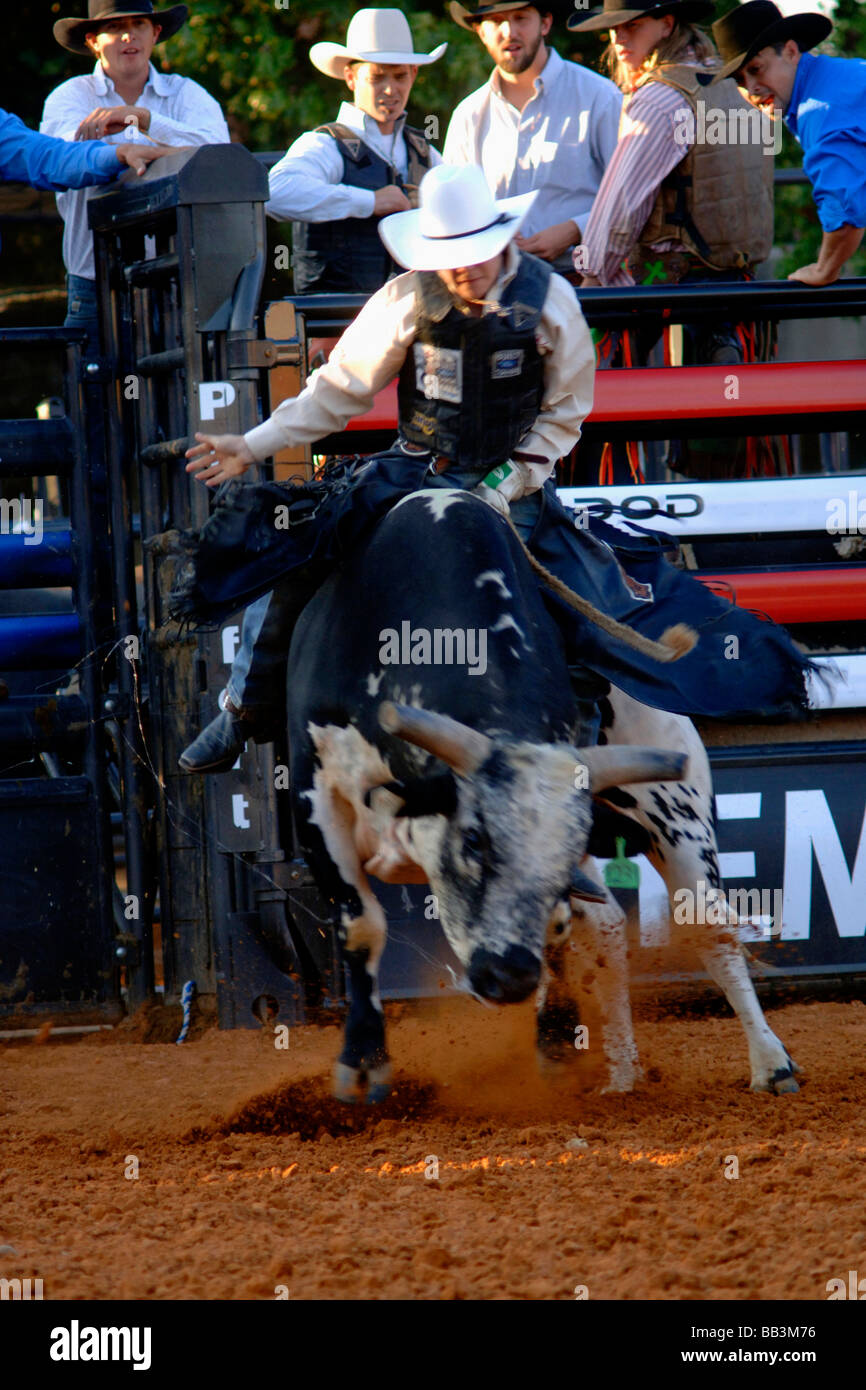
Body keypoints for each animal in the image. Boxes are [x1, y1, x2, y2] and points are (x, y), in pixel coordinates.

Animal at [287, 494, 800, 1100]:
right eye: (474, 840)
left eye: (560, 857)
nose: (507, 976)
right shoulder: (315, 793)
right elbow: (362, 925)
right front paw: (364, 1061)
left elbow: (557, 926)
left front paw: (554, 1034)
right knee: (609, 931)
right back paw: (623, 1074)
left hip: (679, 814)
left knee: (707, 927)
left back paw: (770, 1063)